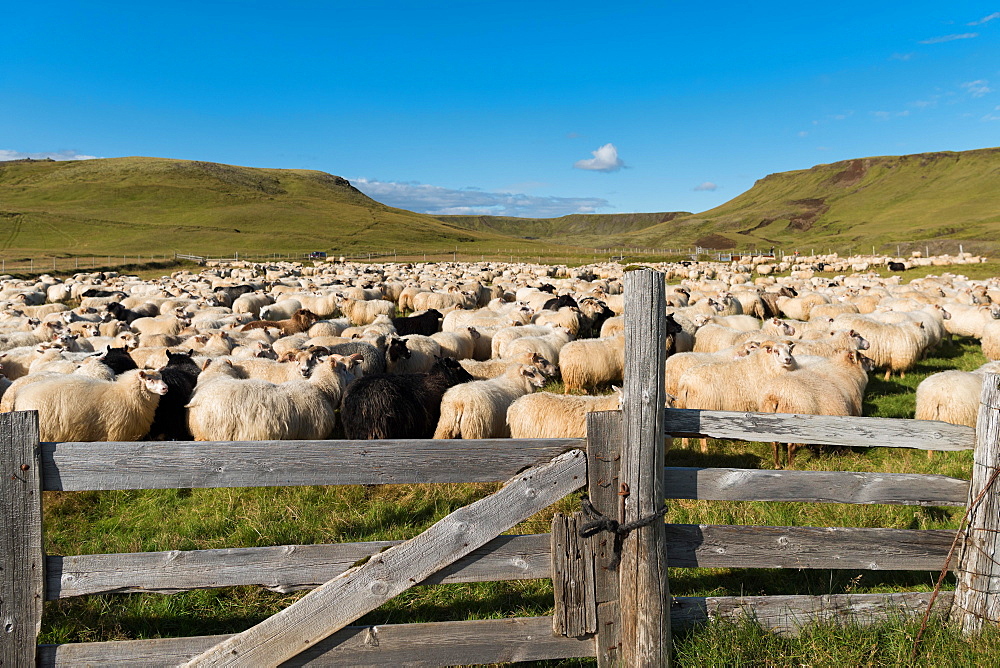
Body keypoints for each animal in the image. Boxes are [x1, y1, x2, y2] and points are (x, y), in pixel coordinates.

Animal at [7, 370, 167, 444]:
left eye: (161, 377)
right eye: (149, 379)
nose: (165, 388)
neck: (126, 394)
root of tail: (20, 396)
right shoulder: (117, 434)